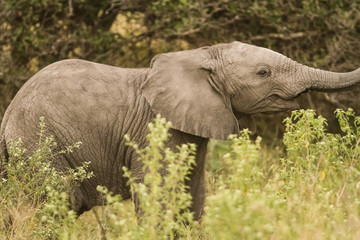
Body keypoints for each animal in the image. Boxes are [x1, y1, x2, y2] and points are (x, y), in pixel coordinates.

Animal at [0, 41, 360, 219]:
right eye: (263, 73)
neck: (198, 56)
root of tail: (7, 115)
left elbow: (193, 196)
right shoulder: (153, 133)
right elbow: (157, 196)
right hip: (39, 142)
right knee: (63, 200)